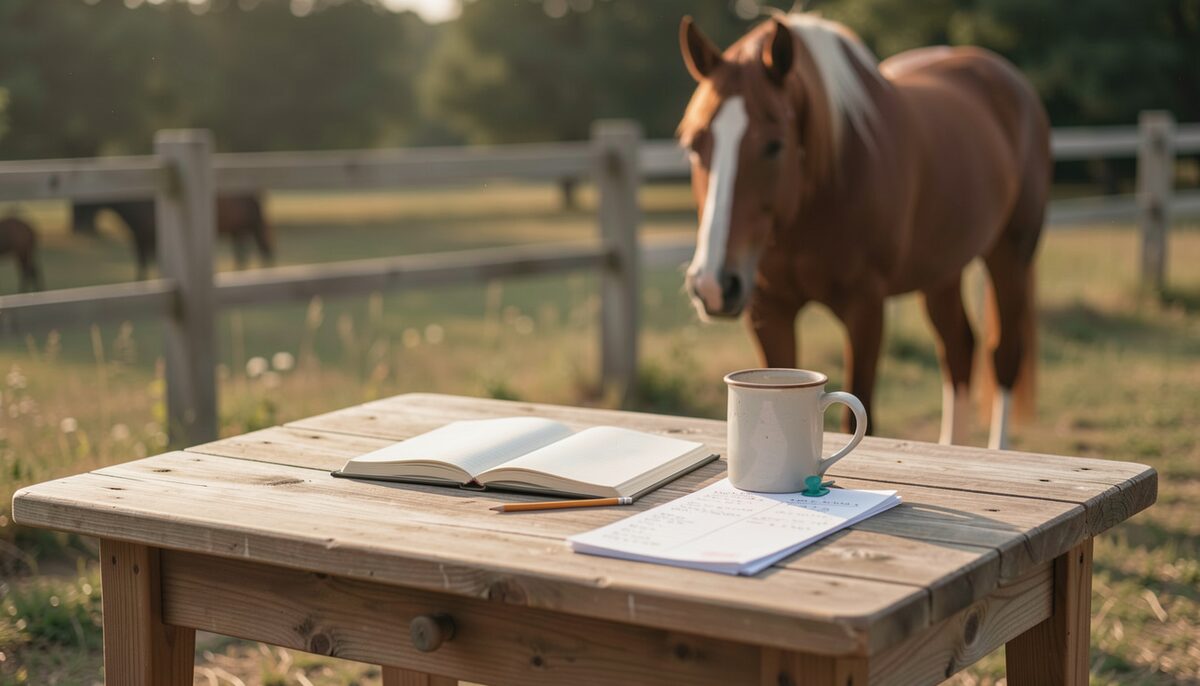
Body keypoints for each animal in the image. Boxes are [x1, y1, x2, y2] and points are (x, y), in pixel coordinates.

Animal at [72, 195, 274, 280]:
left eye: (81, 204)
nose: (77, 227)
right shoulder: (139, 239)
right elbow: (142, 266)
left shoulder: (152, 240)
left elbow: (153, 264)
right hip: (239, 232)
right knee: (245, 256)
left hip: (243, 231)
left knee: (252, 254)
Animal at [678, 13, 1050, 449]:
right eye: (693, 144)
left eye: (774, 145)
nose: (713, 285)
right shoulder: (769, 310)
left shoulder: (865, 309)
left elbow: (857, 413)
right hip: (942, 272)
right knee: (959, 349)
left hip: (1010, 254)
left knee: (1004, 355)